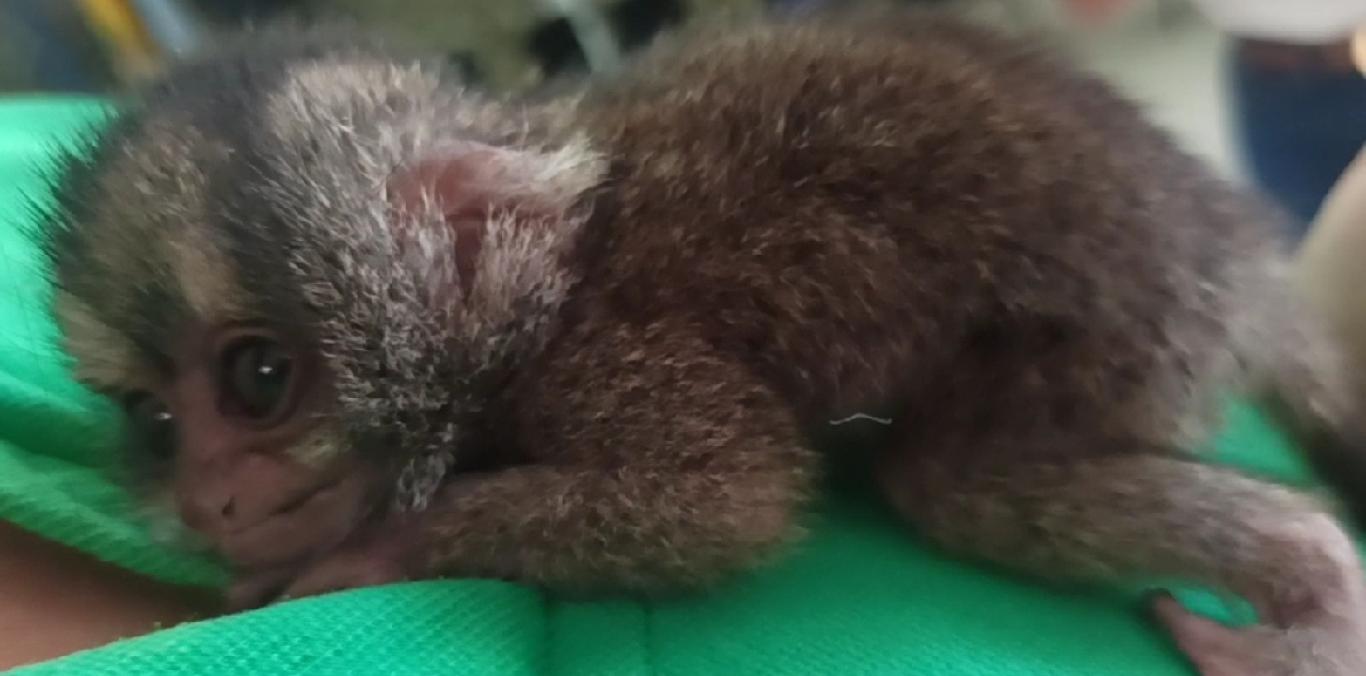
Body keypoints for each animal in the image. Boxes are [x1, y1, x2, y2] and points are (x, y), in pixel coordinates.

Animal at [32, 10, 1366, 675]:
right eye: (158, 423)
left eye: (259, 380)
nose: (207, 497)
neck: (541, 296)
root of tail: (1237, 254)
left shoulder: (607, 354)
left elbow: (729, 500)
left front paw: (371, 553)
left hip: (1135, 334)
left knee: (951, 484)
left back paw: (1308, 575)